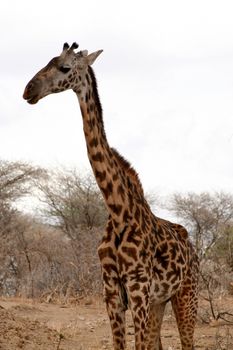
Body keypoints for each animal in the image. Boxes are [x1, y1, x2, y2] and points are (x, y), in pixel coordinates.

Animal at [23, 42, 198, 348]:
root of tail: (194, 250)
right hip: (160, 301)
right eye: (48, 61)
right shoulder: (112, 290)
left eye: (65, 67)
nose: (28, 90)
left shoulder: (138, 286)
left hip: (187, 295)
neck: (118, 211)